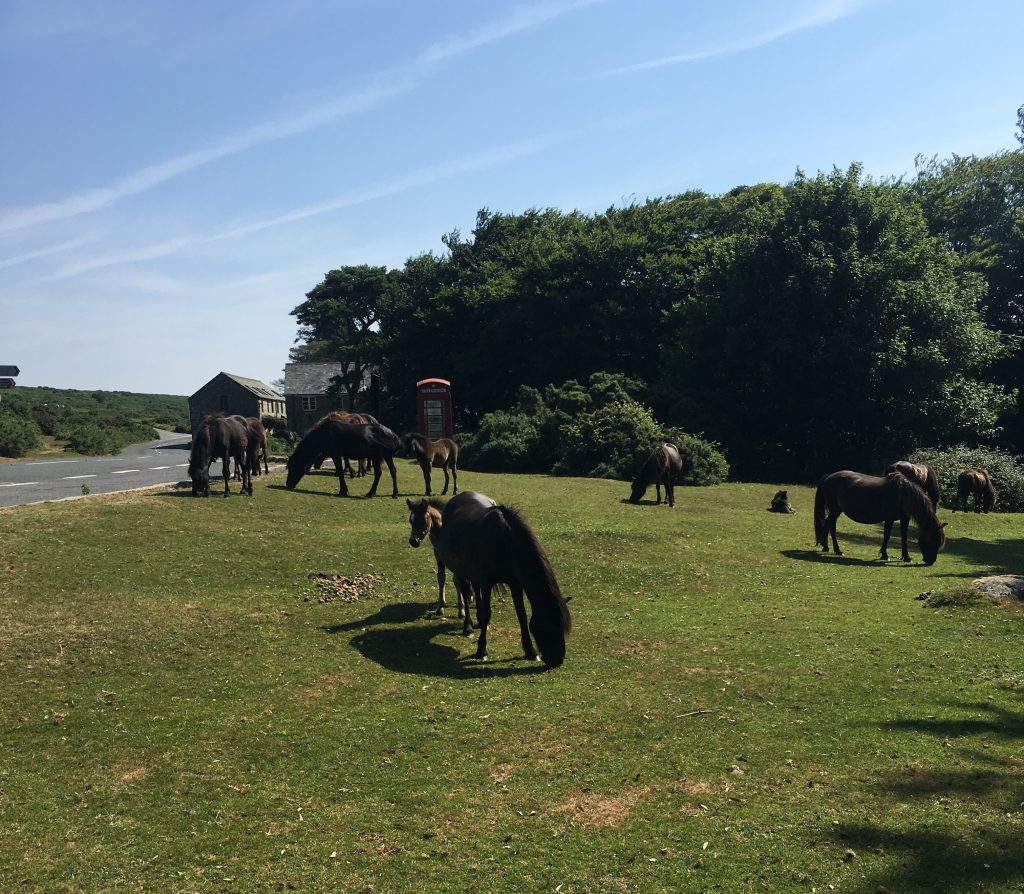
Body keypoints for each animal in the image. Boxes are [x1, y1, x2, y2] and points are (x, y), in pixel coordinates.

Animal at [405, 491, 569, 667]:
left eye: (563, 628)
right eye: (550, 628)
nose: (558, 660)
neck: (504, 540)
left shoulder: (515, 584)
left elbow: (521, 615)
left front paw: (530, 651)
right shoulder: (487, 582)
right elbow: (487, 612)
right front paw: (481, 650)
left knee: (475, 593)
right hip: (460, 569)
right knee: (464, 591)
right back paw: (468, 626)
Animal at [811, 471, 946, 561]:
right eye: (933, 540)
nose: (930, 561)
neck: (902, 493)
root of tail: (828, 477)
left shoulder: (904, 519)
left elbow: (903, 537)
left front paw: (906, 557)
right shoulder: (889, 519)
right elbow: (886, 536)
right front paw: (884, 555)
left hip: (836, 511)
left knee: (828, 524)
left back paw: (826, 547)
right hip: (835, 510)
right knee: (830, 525)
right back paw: (836, 550)